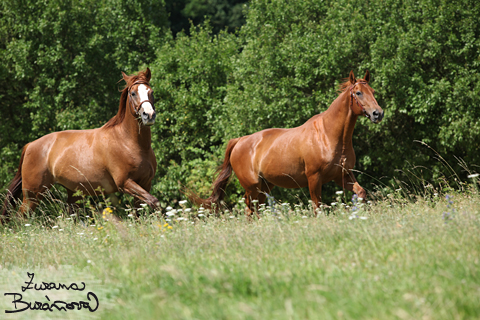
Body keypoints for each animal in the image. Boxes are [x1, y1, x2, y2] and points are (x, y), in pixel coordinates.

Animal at [1, 67, 159, 218]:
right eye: (133, 93)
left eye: (151, 92)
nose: (149, 115)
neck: (130, 143)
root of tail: (30, 146)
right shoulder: (125, 183)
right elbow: (154, 202)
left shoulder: (145, 183)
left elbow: (144, 209)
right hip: (32, 195)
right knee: (21, 217)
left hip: (72, 193)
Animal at [190, 71, 382, 216]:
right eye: (358, 93)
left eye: (373, 91)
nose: (378, 113)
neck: (329, 136)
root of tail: (239, 141)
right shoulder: (314, 178)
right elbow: (317, 206)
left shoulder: (343, 175)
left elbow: (361, 192)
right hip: (252, 186)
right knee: (250, 209)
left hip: (264, 186)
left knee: (255, 209)